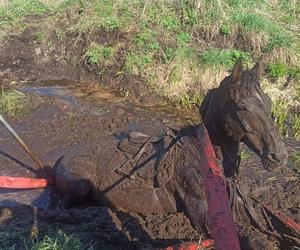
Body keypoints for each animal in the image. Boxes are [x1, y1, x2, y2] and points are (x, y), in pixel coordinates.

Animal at [52, 62, 296, 248]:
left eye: (268, 102)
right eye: (242, 106)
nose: (279, 156)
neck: (208, 159)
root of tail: (62, 158)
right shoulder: (204, 217)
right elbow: (250, 238)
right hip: (79, 186)